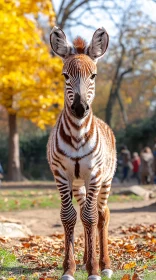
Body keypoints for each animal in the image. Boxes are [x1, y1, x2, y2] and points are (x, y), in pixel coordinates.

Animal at [47, 26, 116, 280]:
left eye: (93, 76)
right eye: (65, 76)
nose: (79, 109)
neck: (77, 134)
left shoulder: (94, 174)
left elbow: (91, 217)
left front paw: (94, 270)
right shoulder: (61, 175)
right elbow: (69, 217)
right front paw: (70, 268)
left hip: (105, 180)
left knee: (102, 215)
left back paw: (104, 264)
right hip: (79, 184)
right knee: (87, 210)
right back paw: (86, 258)